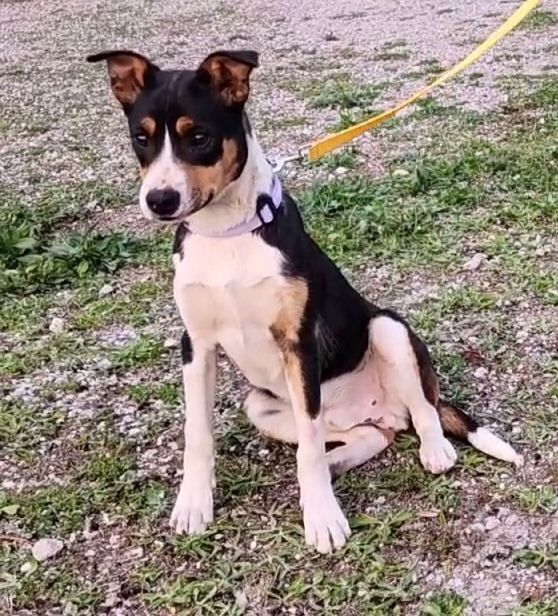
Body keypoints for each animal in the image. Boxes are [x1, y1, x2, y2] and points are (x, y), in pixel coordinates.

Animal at [88, 49, 524, 552]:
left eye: (199, 137)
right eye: (140, 139)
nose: (159, 200)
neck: (227, 232)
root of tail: (381, 409)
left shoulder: (298, 342)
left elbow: (310, 449)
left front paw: (322, 518)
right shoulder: (195, 343)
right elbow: (198, 433)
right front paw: (194, 504)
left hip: (387, 329)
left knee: (423, 409)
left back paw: (434, 450)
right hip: (263, 406)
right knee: (368, 435)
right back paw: (342, 463)